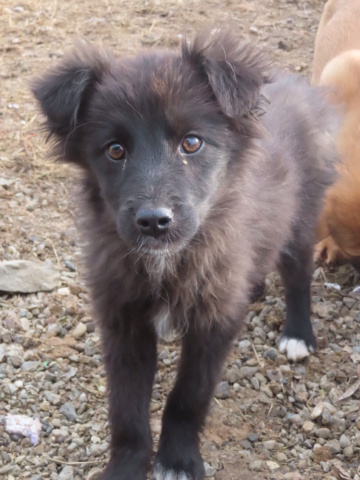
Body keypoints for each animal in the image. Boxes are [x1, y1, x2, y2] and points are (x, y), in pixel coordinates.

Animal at [33, 31, 338, 478]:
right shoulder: (121, 319)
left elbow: (188, 397)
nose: (153, 221)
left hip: (300, 219)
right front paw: (126, 464)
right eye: (114, 150)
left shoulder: (213, 322)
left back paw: (298, 333)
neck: (168, 261)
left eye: (191, 143)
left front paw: (177, 459)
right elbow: (125, 406)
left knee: (299, 274)